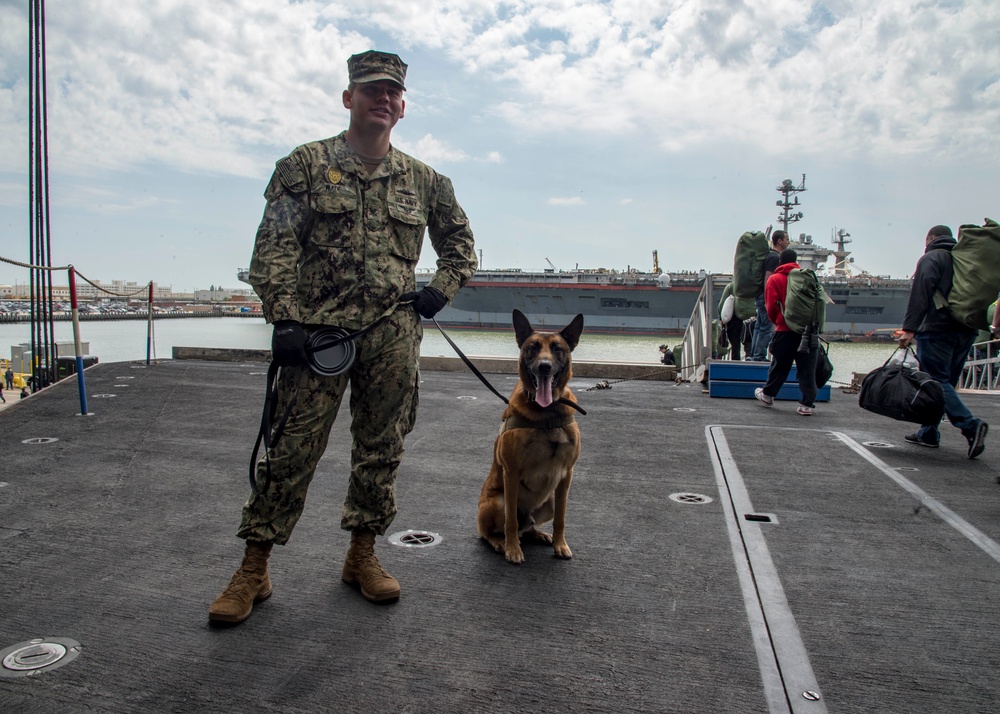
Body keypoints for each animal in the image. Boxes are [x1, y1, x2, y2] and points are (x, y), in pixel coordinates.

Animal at [478, 308, 584, 564]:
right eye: (533, 347)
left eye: (557, 348)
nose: (544, 366)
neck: (547, 413)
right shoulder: (511, 472)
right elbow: (511, 522)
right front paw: (513, 550)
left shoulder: (567, 475)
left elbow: (561, 518)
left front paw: (560, 545)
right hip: (498, 501)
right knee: (492, 530)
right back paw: (500, 542)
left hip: (550, 500)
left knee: (529, 526)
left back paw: (540, 534)